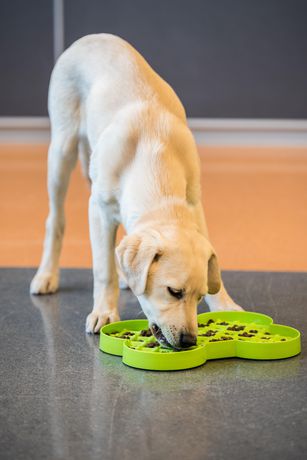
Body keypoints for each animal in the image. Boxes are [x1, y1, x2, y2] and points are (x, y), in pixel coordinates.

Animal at [30, 33, 243, 348]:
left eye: (200, 296)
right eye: (174, 292)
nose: (189, 341)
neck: (152, 150)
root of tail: (92, 37)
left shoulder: (194, 202)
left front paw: (224, 305)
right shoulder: (98, 210)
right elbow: (102, 269)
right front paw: (104, 312)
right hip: (61, 152)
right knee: (55, 220)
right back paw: (46, 275)